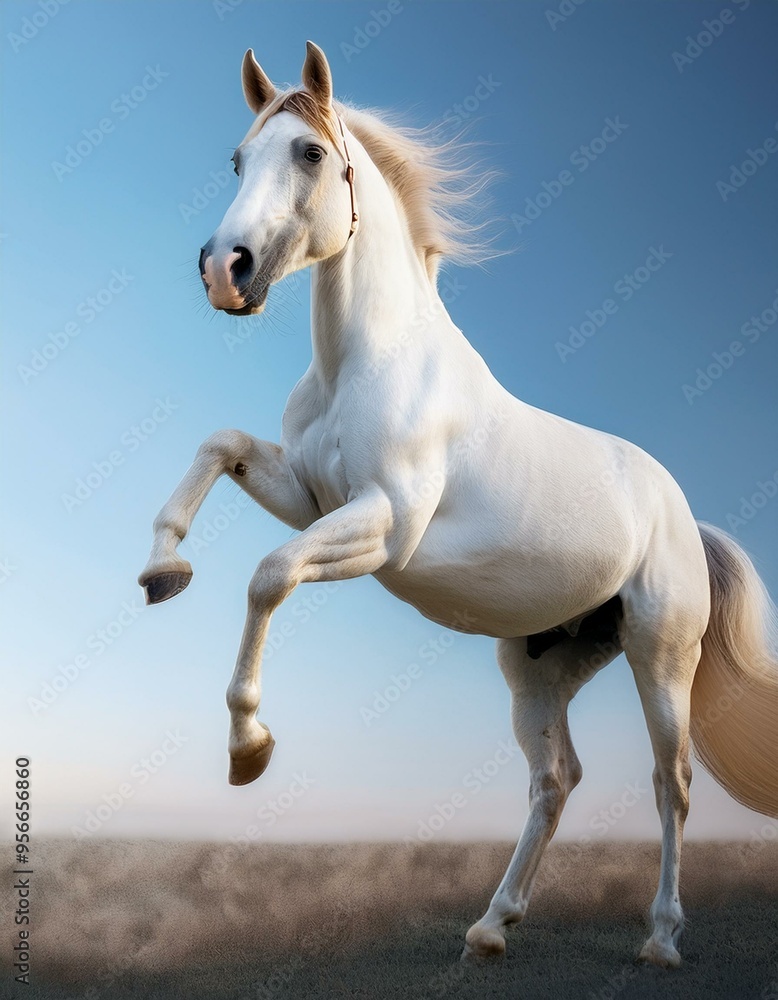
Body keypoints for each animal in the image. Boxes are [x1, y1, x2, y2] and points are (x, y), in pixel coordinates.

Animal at [138, 41, 778, 968]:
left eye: (310, 153)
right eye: (236, 160)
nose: (226, 270)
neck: (367, 362)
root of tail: (682, 516)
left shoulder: (383, 528)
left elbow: (268, 575)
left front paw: (249, 749)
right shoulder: (307, 495)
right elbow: (219, 446)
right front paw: (162, 568)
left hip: (662, 657)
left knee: (673, 781)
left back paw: (660, 937)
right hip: (540, 666)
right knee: (555, 781)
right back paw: (491, 925)